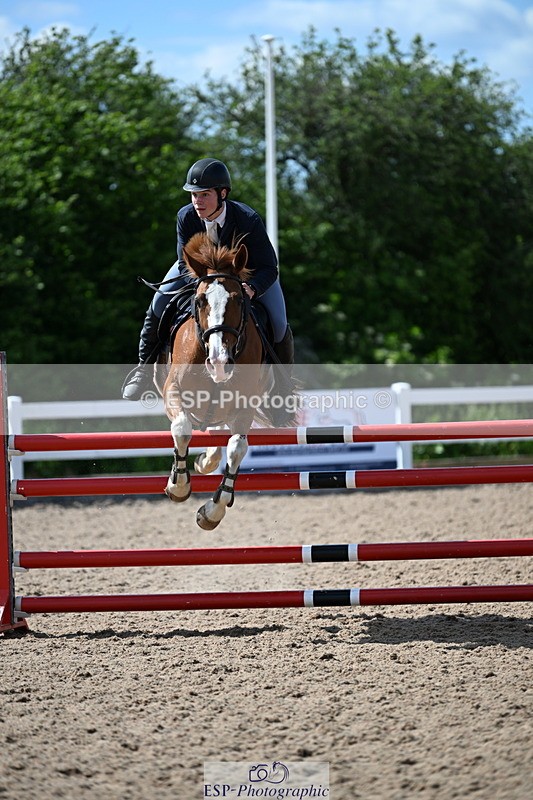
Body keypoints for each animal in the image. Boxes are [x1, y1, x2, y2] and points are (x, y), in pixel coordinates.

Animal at [162, 232, 296, 530]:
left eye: (238, 300)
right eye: (200, 301)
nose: (219, 362)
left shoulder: (244, 403)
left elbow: (236, 447)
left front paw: (212, 512)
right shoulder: (172, 389)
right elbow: (182, 427)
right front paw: (179, 486)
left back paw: (207, 460)